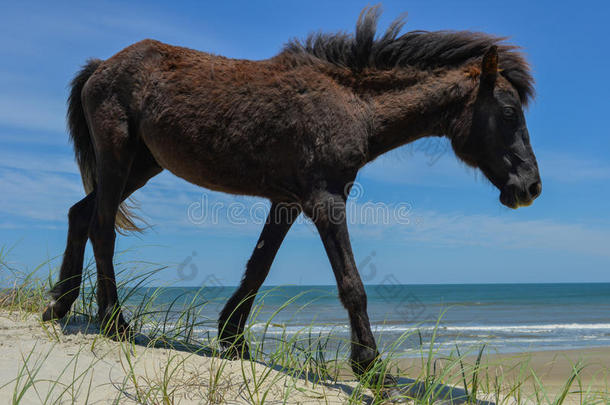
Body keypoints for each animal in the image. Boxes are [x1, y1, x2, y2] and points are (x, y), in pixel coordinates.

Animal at [42, 6, 540, 390]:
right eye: (508, 112)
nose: (531, 187)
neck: (350, 104)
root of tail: (102, 65)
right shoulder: (325, 199)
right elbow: (352, 284)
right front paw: (371, 370)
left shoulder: (288, 202)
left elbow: (258, 268)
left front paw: (233, 341)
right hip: (117, 158)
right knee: (102, 226)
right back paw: (114, 323)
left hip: (141, 165)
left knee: (80, 214)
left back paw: (59, 306)